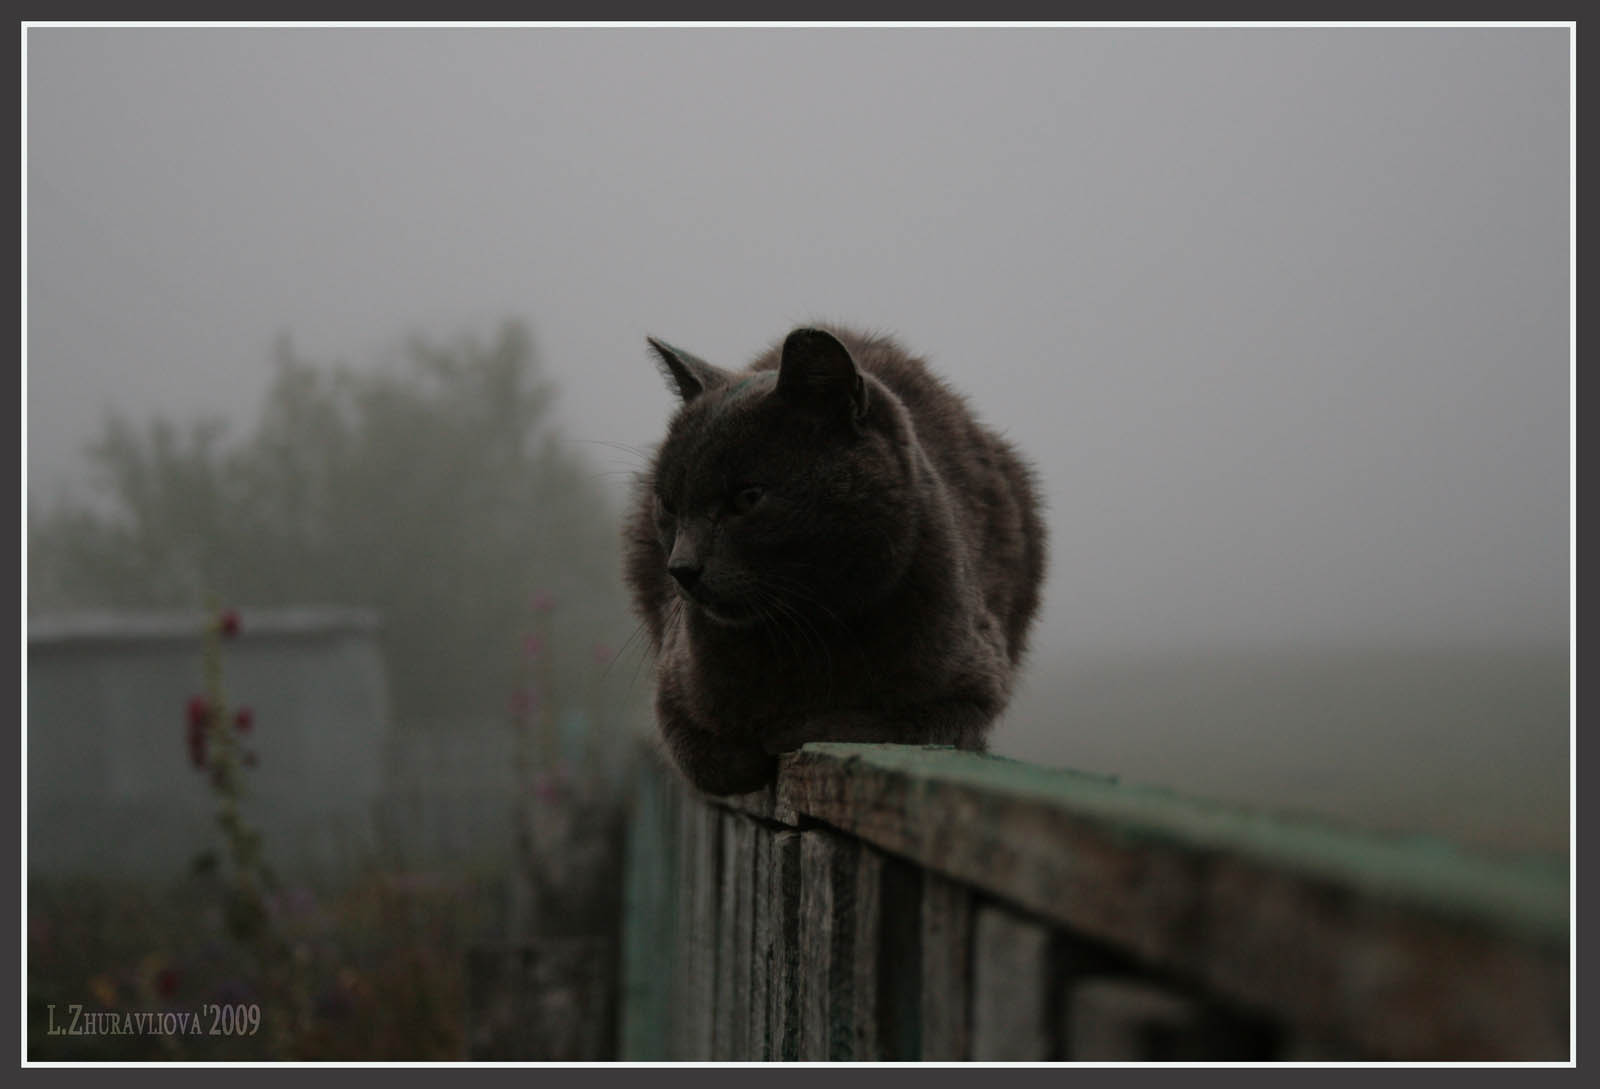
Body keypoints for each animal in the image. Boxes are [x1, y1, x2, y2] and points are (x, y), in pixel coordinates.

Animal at [624, 323, 1049, 789]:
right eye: (668, 504)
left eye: (748, 498)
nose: (681, 567)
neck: (807, 632)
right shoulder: (672, 691)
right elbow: (714, 759)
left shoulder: (973, 687)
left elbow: (874, 725)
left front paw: (788, 728)